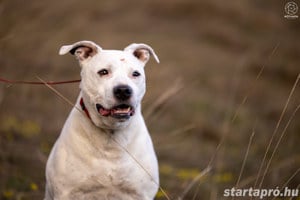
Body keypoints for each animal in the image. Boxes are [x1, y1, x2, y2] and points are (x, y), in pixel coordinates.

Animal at [44, 41, 159, 200]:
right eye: (103, 72)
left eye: (135, 74)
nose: (123, 90)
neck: (111, 139)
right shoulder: (66, 193)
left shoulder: (141, 194)